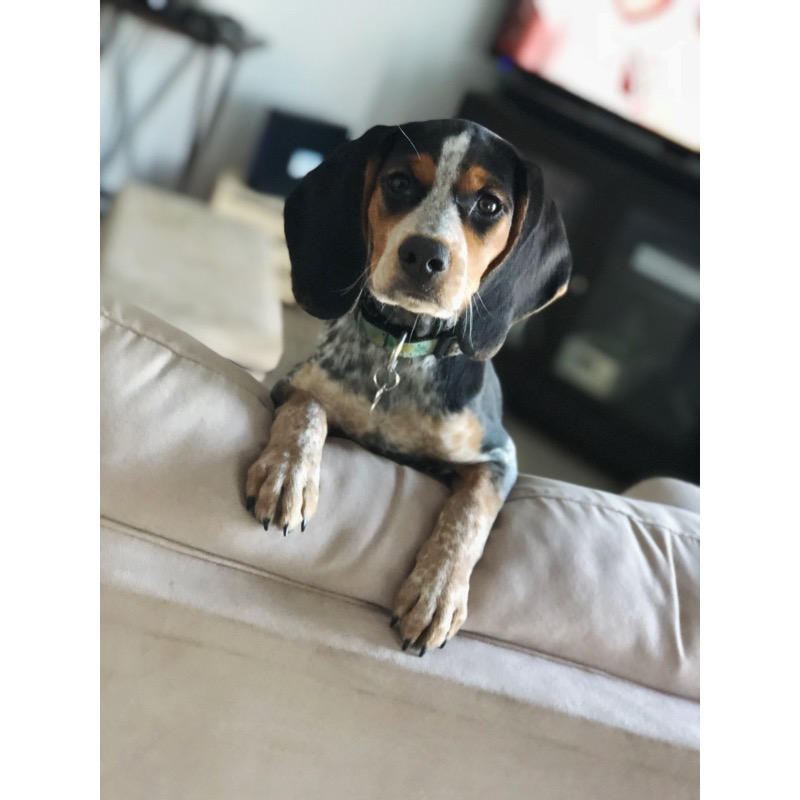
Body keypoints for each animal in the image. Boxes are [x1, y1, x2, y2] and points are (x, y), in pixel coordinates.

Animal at [245, 119, 571, 656]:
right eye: (398, 182)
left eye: (489, 205)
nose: (424, 254)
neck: (403, 349)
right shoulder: (293, 384)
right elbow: (310, 408)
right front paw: (289, 474)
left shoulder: (500, 457)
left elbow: (469, 512)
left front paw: (437, 593)